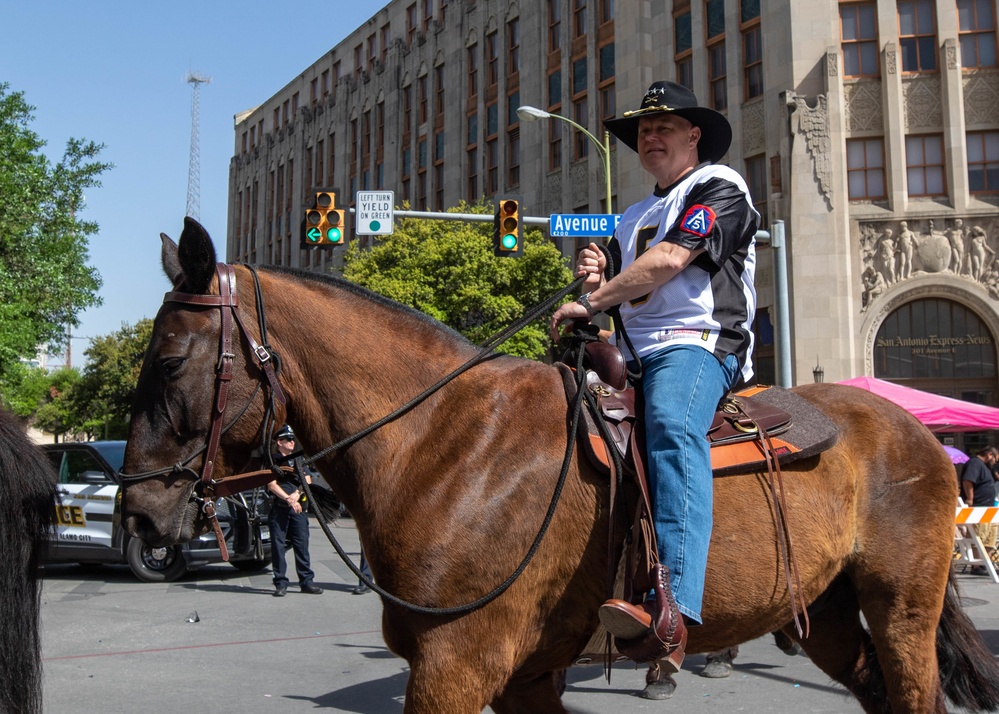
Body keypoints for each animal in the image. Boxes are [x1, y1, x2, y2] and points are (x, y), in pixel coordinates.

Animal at [125, 218, 999, 712]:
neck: (440, 443)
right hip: (825, 611)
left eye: (168, 363)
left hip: (901, 608)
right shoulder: (521, 677)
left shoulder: (455, 666)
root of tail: (913, 429)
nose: (135, 512)